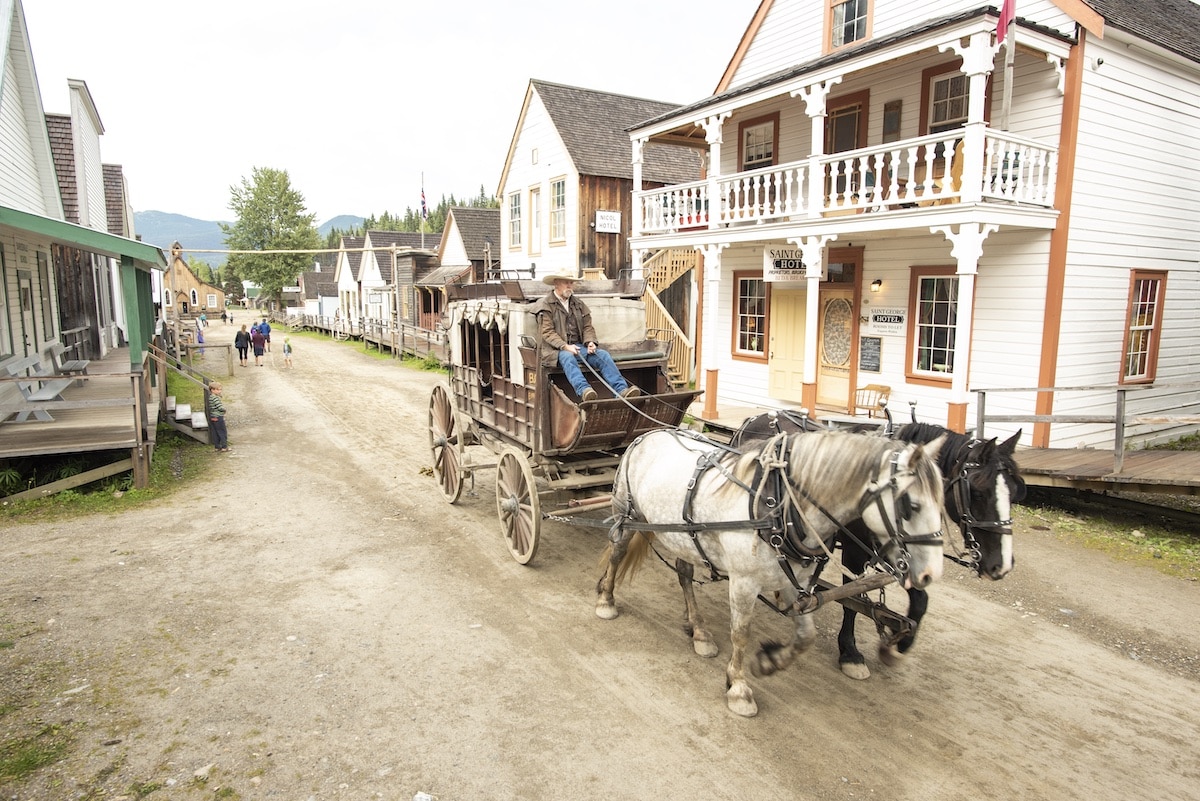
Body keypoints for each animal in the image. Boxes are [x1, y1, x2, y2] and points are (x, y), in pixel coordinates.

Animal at [729, 410, 1022, 681]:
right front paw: (850, 653)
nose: (1001, 566)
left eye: (1016, 491)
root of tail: (755, 418)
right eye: (978, 491)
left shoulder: (898, 547)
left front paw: (899, 642)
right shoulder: (855, 550)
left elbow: (920, 599)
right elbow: (851, 599)